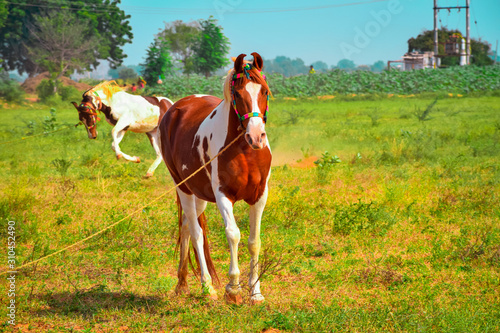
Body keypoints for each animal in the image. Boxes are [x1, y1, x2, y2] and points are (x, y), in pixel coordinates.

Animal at [159, 52, 270, 304]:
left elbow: (254, 241)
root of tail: (176, 107)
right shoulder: (223, 196)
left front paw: (256, 293)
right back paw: (207, 286)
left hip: (199, 194)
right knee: (196, 233)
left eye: (264, 91)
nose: (256, 136)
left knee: (187, 227)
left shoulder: (260, 196)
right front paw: (233, 289)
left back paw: (182, 282)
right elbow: (233, 234)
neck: (244, 151)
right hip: (184, 189)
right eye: (238, 94)